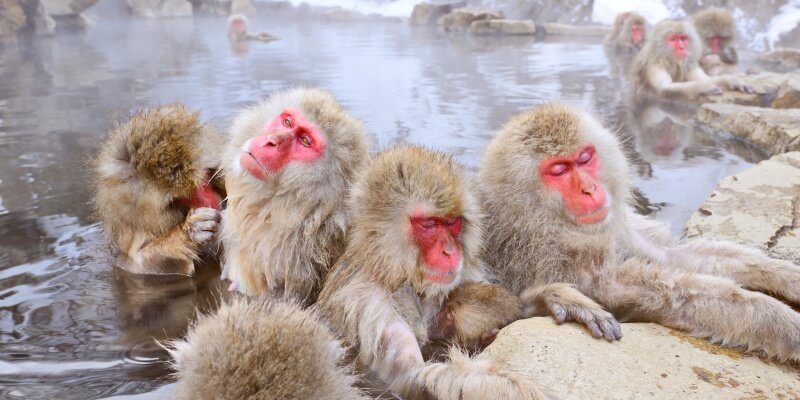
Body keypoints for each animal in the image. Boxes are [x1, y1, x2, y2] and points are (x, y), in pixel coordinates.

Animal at [318, 146, 549, 400]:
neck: (394, 274)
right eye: (429, 224)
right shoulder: (370, 309)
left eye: (452, 222)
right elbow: (412, 381)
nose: (450, 251)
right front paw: (513, 387)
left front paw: (546, 300)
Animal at [479, 103, 800, 362]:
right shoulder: (543, 254)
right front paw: (782, 322)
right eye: (559, 170)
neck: (540, 218)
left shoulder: (614, 225)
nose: (589, 189)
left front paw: (783, 274)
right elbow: (648, 288)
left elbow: (667, 253)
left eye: (584, 159)